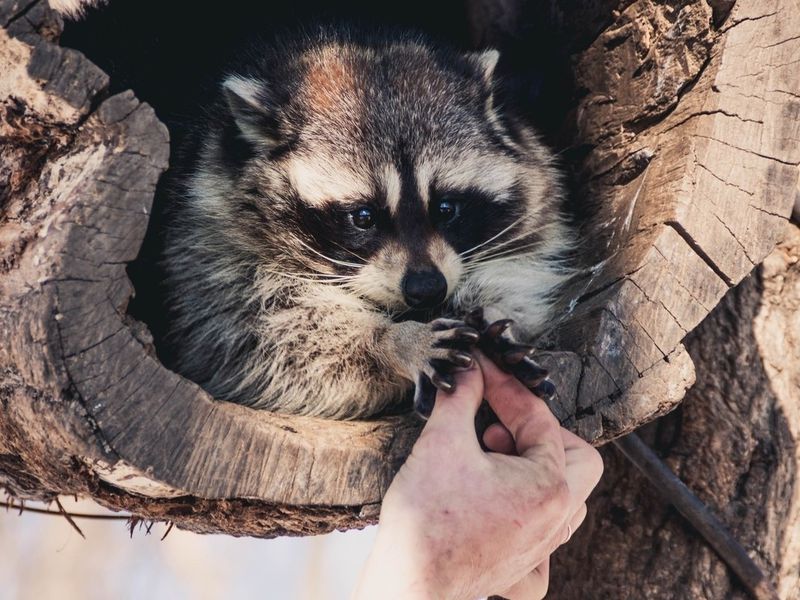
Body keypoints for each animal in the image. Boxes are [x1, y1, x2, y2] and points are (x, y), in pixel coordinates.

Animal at [162, 27, 568, 418]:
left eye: (446, 208)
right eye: (363, 217)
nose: (427, 289)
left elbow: (516, 274)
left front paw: (490, 316)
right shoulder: (208, 247)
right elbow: (264, 341)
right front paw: (393, 341)